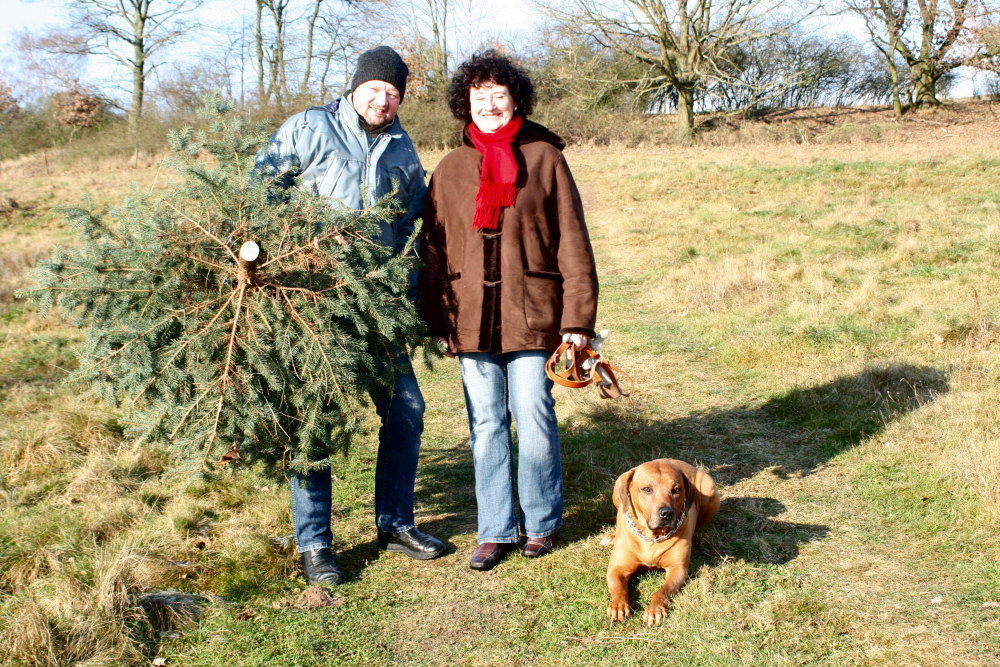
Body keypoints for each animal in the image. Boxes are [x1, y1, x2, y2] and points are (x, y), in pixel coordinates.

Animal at [600, 460, 720, 628]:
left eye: (676, 490)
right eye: (646, 489)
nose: (666, 513)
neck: (651, 537)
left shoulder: (678, 569)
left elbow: (662, 591)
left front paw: (654, 610)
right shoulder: (617, 568)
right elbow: (619, 589)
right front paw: (618, 606)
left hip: (711, 489)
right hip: (617, 488)